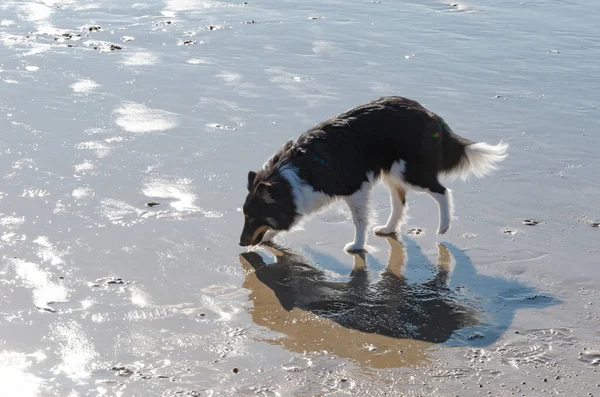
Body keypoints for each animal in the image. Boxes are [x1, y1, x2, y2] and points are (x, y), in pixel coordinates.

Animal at [239, 96, 506, 251]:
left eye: (252, 218)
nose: (240, 243)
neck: (296, 173)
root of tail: (430, 114)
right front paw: (271, 235)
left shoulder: (355, 188)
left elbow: (359, 220)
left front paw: (357, 246)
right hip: (392, 173)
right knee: (400, 202)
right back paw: (388, 229)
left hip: (408, 171)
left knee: (442, 191)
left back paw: (444, 226)